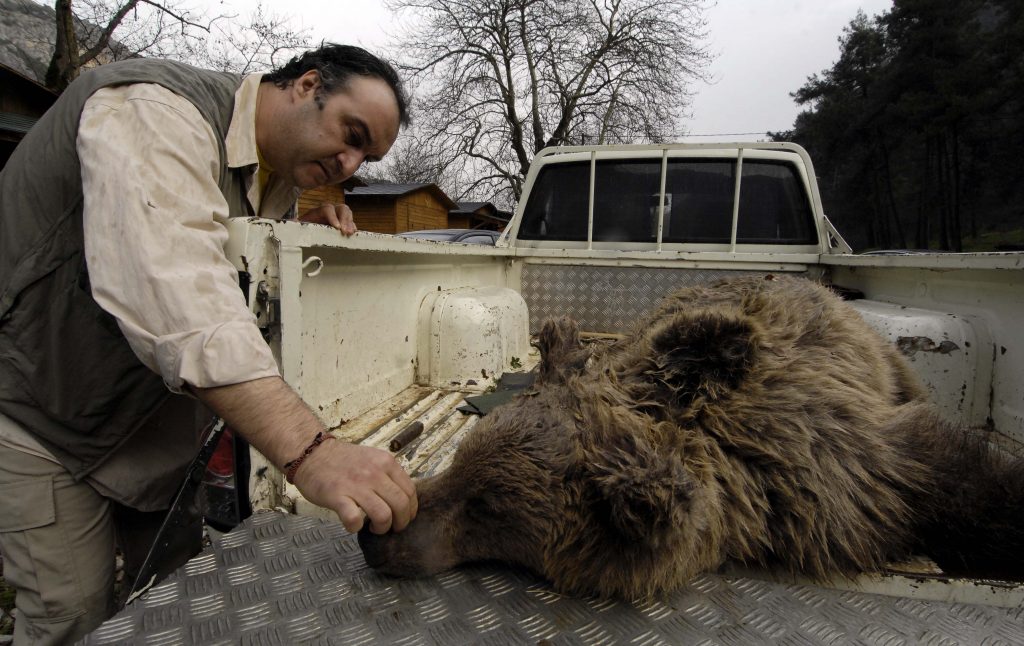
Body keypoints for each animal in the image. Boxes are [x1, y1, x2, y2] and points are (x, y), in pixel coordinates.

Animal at [360, 272, 1024, 597]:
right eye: (461, 462)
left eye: (485, 508)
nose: (373, 532)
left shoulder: (856, 466)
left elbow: (964, 486)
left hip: (891, 361)